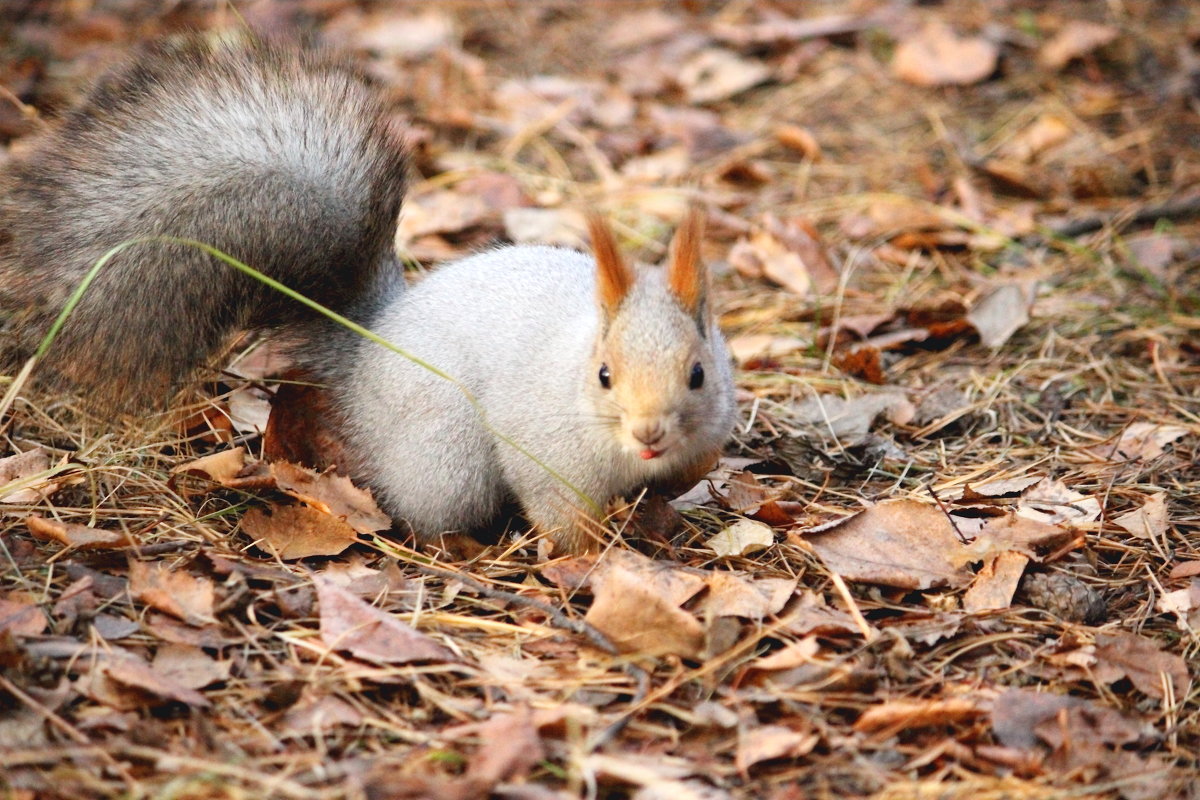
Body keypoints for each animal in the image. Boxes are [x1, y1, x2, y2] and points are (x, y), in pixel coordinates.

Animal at [0, 35, 734, 551]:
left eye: (698, 373)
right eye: (604, 375)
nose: (648, 434)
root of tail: (374, 338)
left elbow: (693, 466)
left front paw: (667, 497)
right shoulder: (546, 451)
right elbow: (561, 515)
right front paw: (593, 555)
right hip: (445, 451)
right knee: (429, 507)